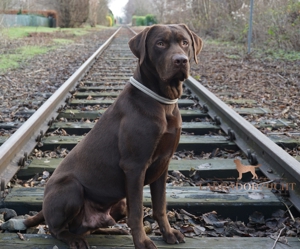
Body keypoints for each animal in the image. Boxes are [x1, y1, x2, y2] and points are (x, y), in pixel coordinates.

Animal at [23, 23, 202, 249]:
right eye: (160, 43)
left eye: (185, 42)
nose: (181, 60)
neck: (163, 103)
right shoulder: (134, 166)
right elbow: (137, 212)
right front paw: (142, 242)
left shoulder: (163, 164)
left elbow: (160, 206)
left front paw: (168, 233)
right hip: (71, 188)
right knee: (56, 229)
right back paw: (74, 240)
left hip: (118, 204)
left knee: (89, 227)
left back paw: (113, 229)